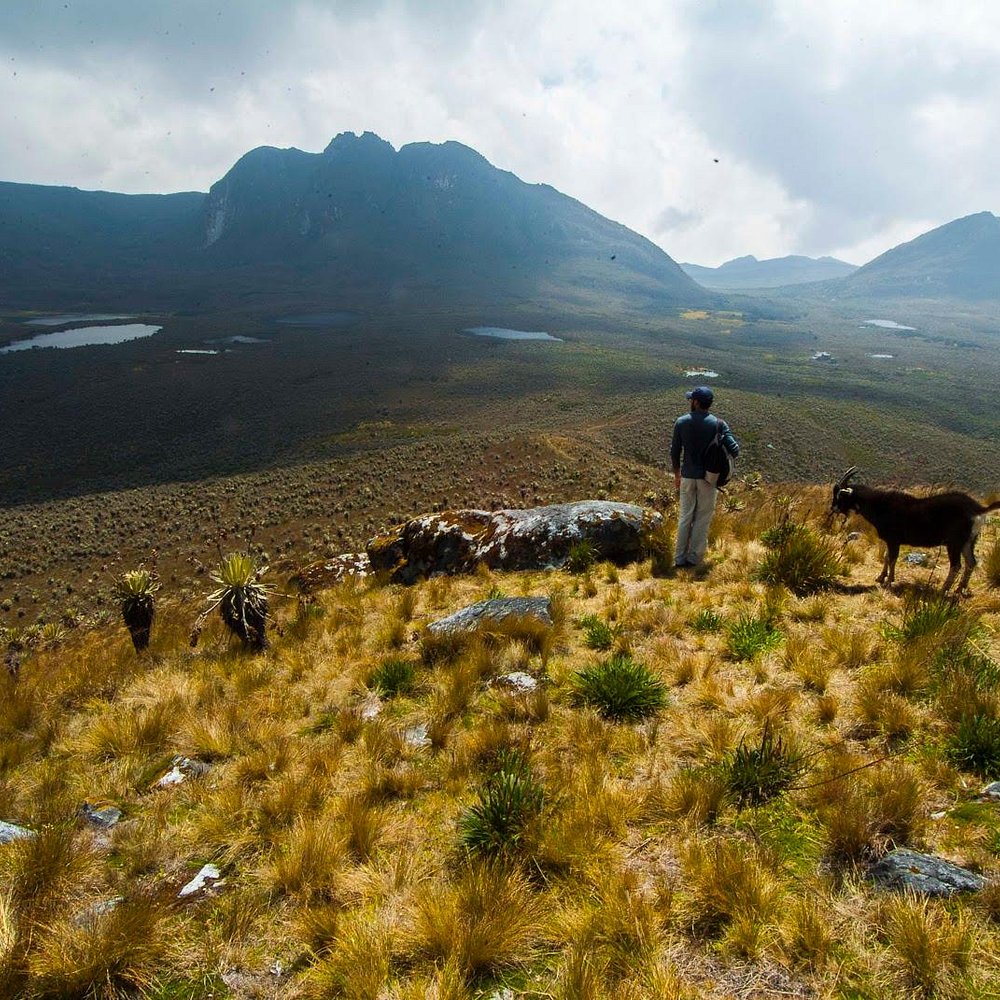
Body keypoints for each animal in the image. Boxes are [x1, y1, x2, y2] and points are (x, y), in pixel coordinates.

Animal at [828, 468, 1000, 592]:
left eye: (840, 496)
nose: (833, 509)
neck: (880, 506)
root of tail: (978, 509)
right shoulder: (890, 541)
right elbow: (886, 556)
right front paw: (881, 577)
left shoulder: (894, 540)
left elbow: (892, 558)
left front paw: (888, 582)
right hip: (969, 541)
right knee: (971, 562)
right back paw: (959, 588)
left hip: (955, 542)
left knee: (956, 565)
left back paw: (944, 589)